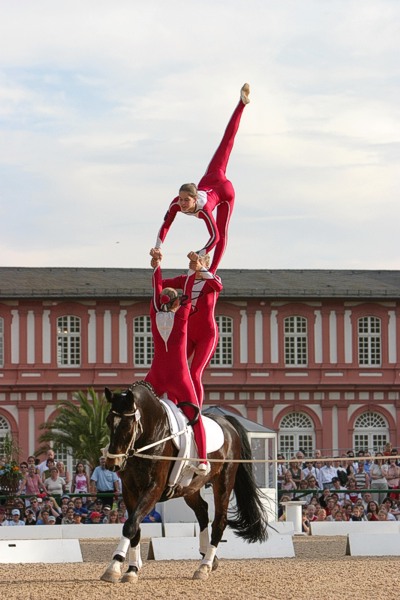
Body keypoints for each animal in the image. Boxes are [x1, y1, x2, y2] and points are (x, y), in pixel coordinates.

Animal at [100, 382, 268, 584]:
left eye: (127, 424)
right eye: (109, 421)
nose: (112, 464)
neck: (151, 435)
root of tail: (227, 422)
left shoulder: (154, 489)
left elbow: (131, 525)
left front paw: (116, 567)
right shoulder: (129, 491)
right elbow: (135, 527)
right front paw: (129, 567)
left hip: (224, 482)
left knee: (219, 522)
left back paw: (204, 566)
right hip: (191, 488)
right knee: (202, 511)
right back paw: (208, 558)